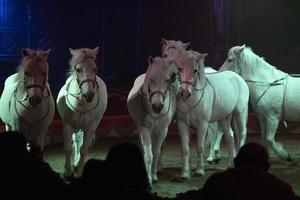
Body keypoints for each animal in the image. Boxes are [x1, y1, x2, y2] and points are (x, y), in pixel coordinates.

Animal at [56, 47, 107, 178]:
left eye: (95, 69)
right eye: (78, 69)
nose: (89, 95)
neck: (82, 103)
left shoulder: (90, 127)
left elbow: (84, 149)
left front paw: (78, 172)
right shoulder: (68, 125)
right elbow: (68, 148)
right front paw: (68, 172)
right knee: (76, 140)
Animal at [127, 55, 178, 183]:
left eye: (167, 80)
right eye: (151, 79)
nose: (157, 105)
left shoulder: (162, 130)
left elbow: (156, 152)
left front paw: (154, 176)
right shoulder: (145, 129)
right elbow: (149, 154)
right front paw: (148, 177)